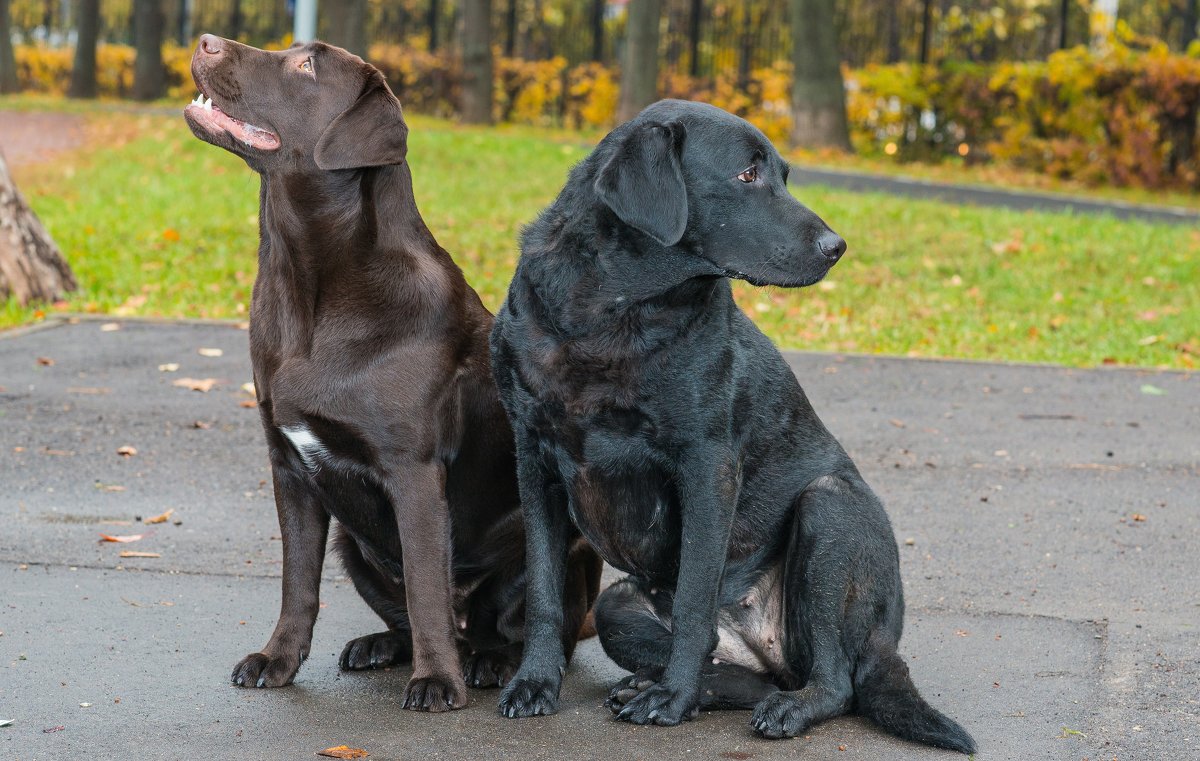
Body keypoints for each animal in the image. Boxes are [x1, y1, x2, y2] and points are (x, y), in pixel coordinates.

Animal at [183, 35, 604, 710]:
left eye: (305, 65)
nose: (205, 41)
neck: (309, 288)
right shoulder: (288, 465)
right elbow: (297, 583)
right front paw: (278, 659)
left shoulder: (413, 471)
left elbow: (428, 586)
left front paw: (436, 682)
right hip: (352, 544)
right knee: (406, 614)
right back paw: (382, 646)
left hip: (562, 547)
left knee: (530, 632)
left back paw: (488, 661)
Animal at [487, 97, 974, 748]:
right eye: (747, 175)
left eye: (783, 175)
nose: (837, 245)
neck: (612, 308)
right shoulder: (534, 459)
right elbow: (543, 589)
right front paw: (536, 682)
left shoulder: (707, 466)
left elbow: (695, 601)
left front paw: (671, 700)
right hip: (619, 605)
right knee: (745, 676)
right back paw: (659, 687)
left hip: (830, 510)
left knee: (833, 683)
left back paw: (758, 704)